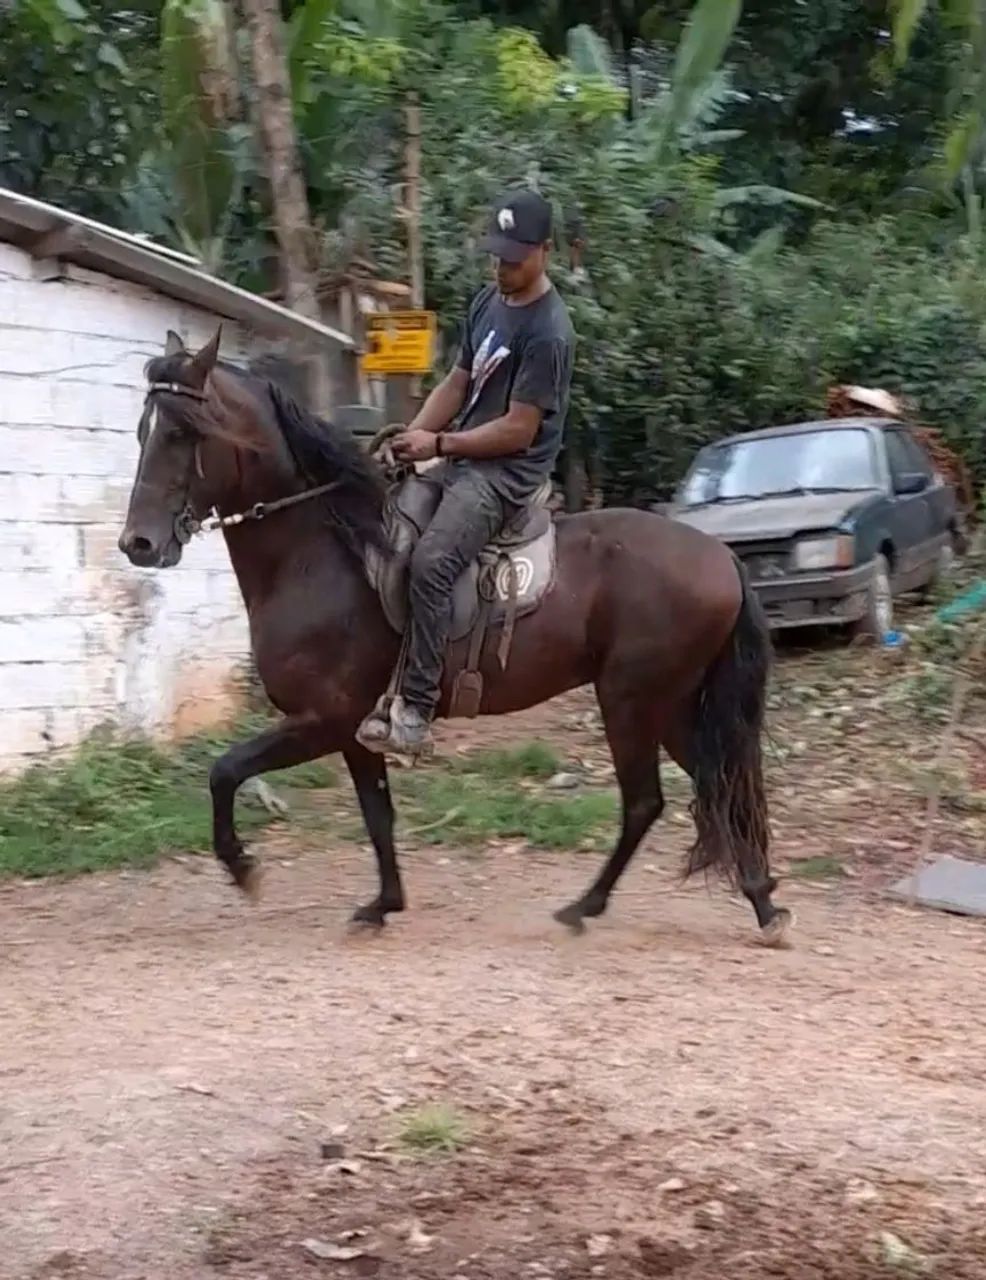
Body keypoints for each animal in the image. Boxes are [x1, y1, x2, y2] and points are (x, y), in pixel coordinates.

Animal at [118, 327, 791, 946]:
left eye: (181, 433)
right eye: (143, 431)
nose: (138, 544)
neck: (322, 553)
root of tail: (721, 557)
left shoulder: (322, 719)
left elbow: (224, 771)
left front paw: (242, 867)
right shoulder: (355, 728)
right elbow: (377, 815)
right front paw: (383, 904)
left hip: (633, 700)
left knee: (648, 800)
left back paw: (589, 906)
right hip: (668, 703)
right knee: (716, 784)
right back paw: (759, 900)